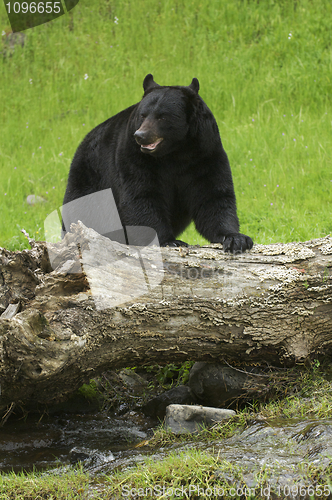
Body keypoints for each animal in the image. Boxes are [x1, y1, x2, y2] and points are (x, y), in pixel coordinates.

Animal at [62, 73, 253, 254]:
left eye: (162, 117)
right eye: (143, 115)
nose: (140, 135)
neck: (175, 152)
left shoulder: (205, 154)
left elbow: (212, 197)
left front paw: (236, 239)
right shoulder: (134, 158)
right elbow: (142, 197)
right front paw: (169, 241)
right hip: (90, 177)